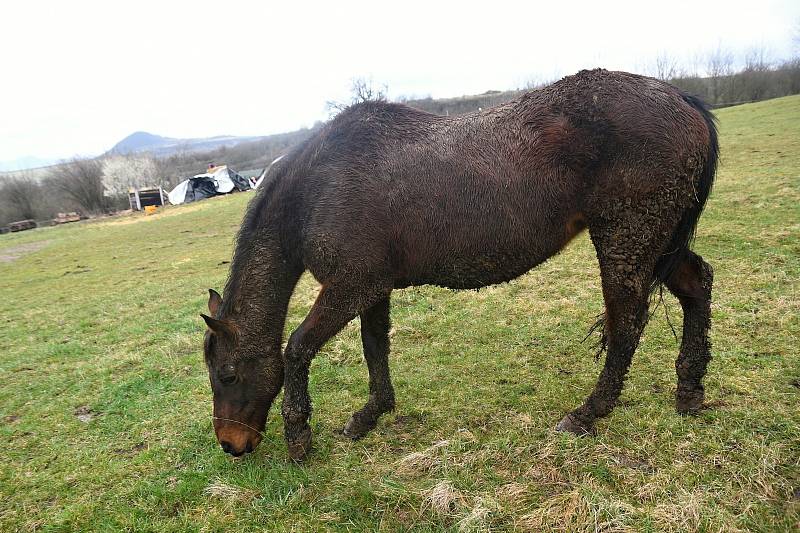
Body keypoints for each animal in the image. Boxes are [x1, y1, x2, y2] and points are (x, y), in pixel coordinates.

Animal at [200, 69, 720, 462]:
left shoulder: (350, 286)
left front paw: (299, 436)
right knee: (696, 286)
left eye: (228, 374)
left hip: (625, 241)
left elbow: (296, 349)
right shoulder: (373, 288)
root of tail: (682, 99)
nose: (230, 444)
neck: (316, 189)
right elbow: (375, 349)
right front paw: (371, 414)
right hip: (657, 245)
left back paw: (588, 412)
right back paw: (689, 389)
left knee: (626, 323)